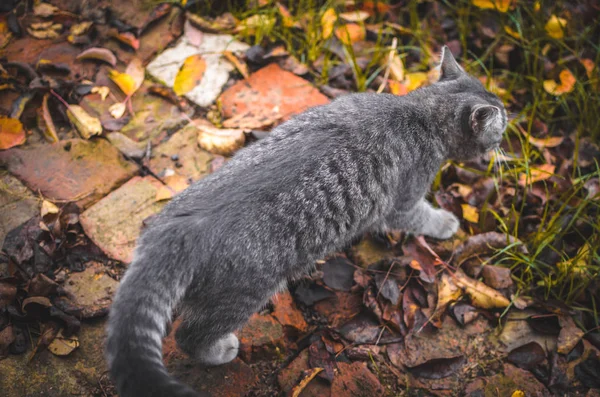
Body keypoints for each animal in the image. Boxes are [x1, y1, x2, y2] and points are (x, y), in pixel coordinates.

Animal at [106, 44, 506, 394]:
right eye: (502, 124)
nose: (507, 131)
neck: (419, 112)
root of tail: (177, 229)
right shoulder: (404, 203)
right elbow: (422, 217)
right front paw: (447, 223)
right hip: (243, 292)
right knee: (190, 335)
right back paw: (221, 350)